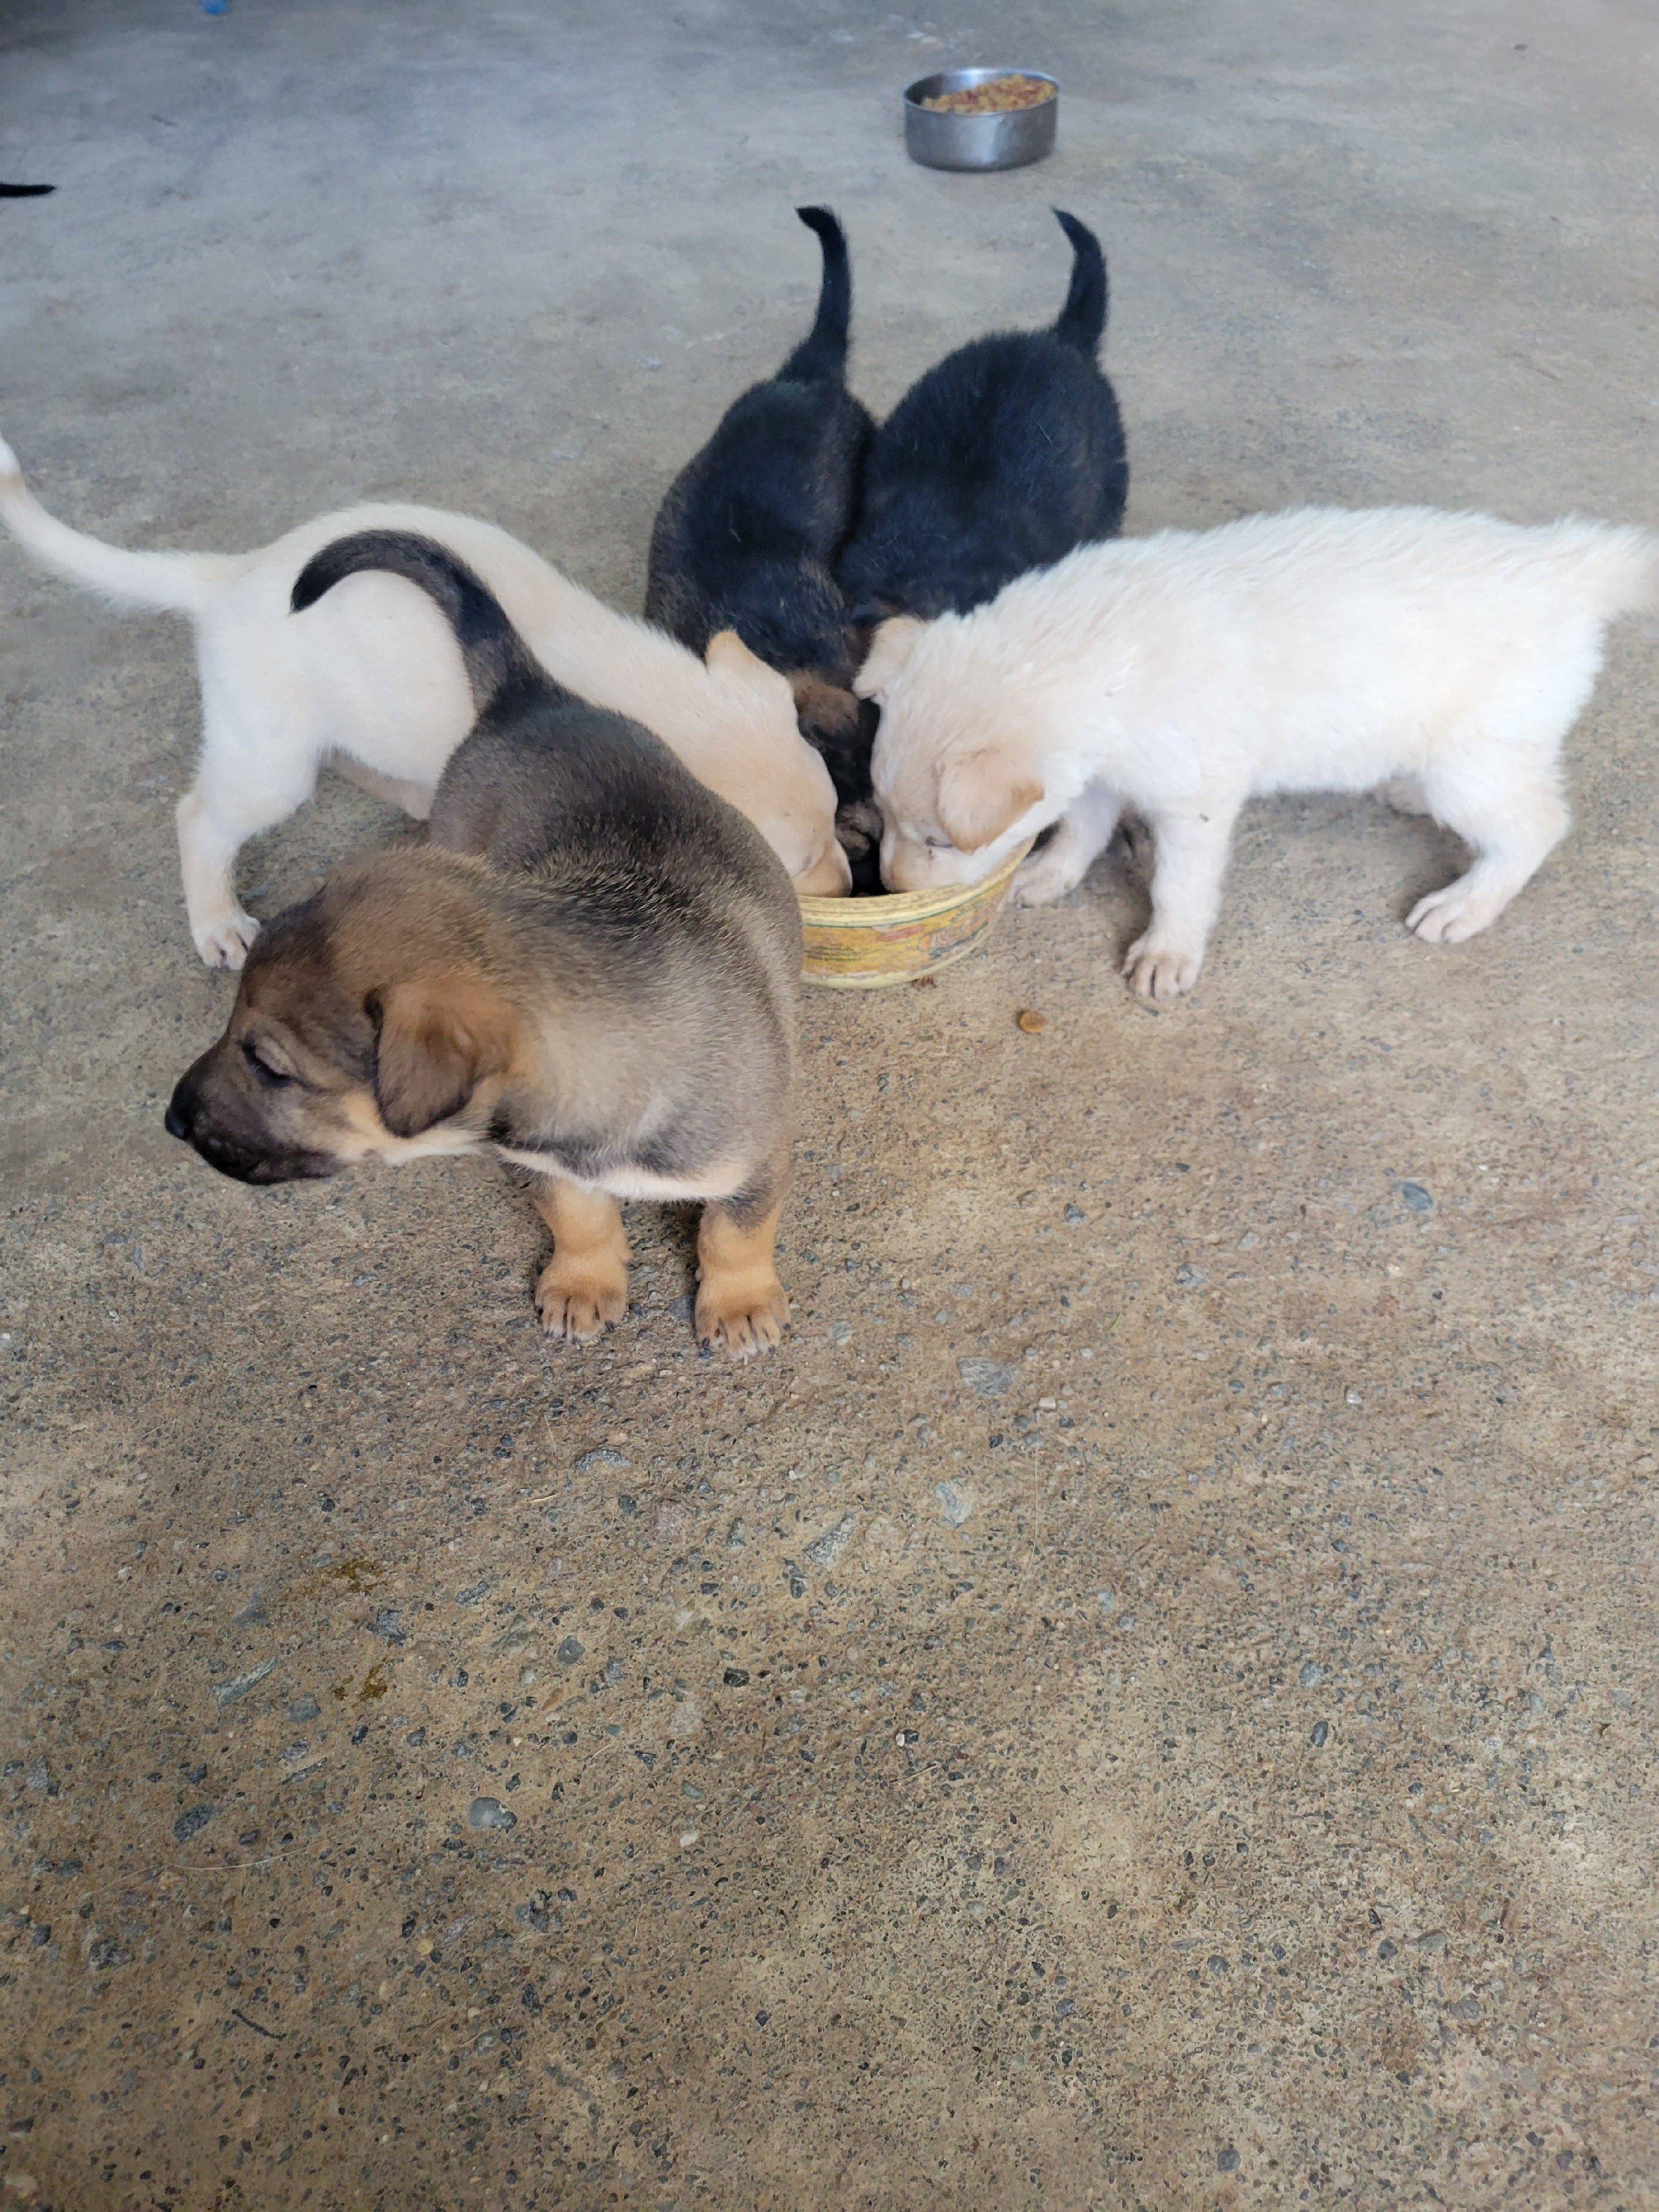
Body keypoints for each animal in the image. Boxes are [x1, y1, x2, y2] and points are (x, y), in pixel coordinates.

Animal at [0, 436, 849, 964]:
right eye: (801, 861)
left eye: (838, 822)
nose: (847, 885)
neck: (655, 691)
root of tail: (229, 577)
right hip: (269, 759)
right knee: (199, 818)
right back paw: (216, 924)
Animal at [163, 537, 805, 1362]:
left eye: (270, 1067)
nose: (173, 1120)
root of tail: (529, 695)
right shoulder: (537, 1162)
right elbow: (579, 1216)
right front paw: (583, 1282)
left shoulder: (758, 1158)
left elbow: (734, 1231)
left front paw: (739, 1304)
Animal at [862, 506, 1654, 999]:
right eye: (881, 812)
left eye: (938, 840)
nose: (892, 889)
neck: (1091, 650)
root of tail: (1568, 561)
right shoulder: (1100, 769)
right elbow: (1079, 829)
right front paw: (1050, 874)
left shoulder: (1194, 802)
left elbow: (1178, 888)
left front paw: (1167, 953)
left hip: (1477, 762)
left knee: (1535, 828)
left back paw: (1465, 904)